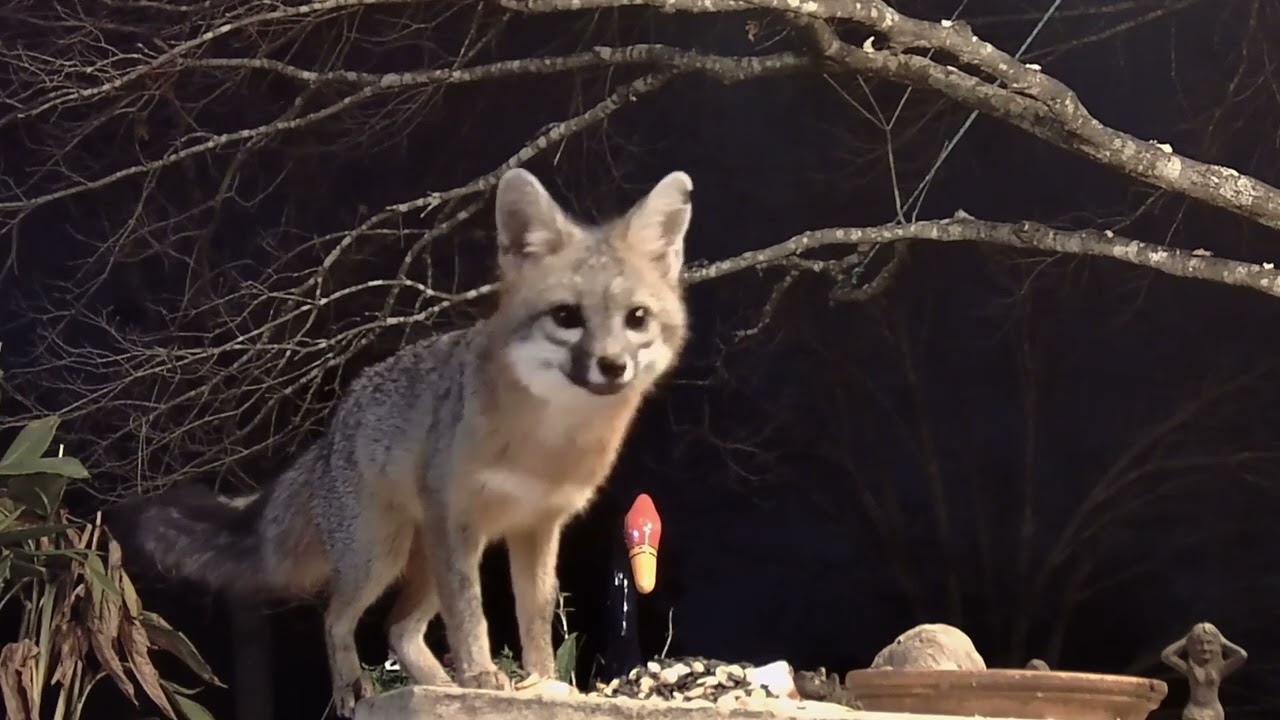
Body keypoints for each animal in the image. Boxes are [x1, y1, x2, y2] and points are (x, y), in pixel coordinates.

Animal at [111, 167, 694, 717]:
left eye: (637, 319)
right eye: (567, 317)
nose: (612, 366)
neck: (546, 447)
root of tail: (328, 438)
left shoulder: (538, 528)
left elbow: (535, 617)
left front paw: (542, 683)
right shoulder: (459, 520)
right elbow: (471, 615)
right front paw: (482, 676)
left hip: (424, 559)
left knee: (399, 628)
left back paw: (439, 687)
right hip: (383, 556)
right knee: (338, 618)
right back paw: (358, 687)